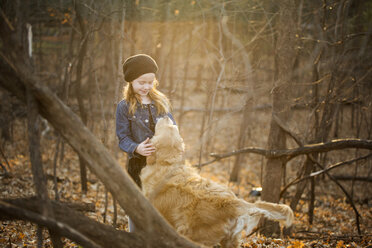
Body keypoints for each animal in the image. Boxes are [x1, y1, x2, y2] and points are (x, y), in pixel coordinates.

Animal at [141, 116, 294, 248]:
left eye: (169, 126)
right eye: (173, 127)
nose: (166, 116)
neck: (167, 161)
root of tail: (234, 201)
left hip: (194, 235)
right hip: (230, 240)